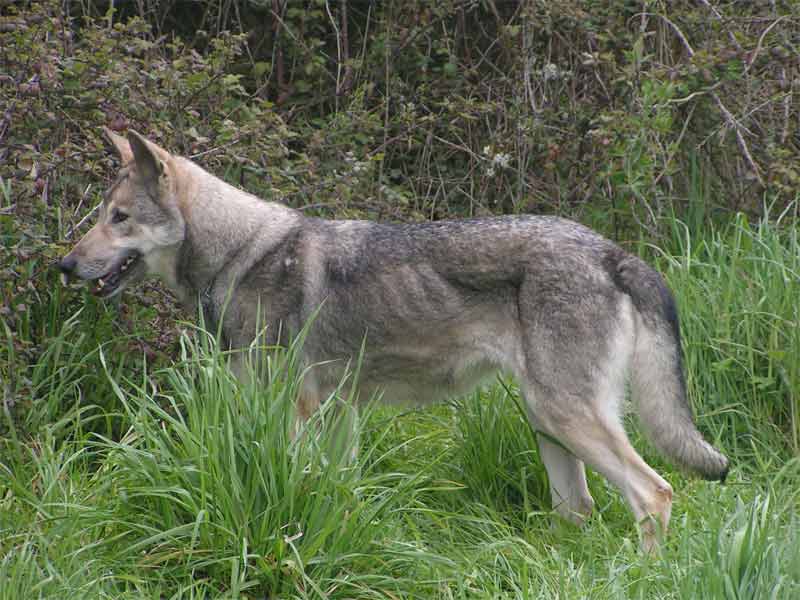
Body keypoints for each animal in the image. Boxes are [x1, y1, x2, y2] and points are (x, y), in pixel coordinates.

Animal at [59, 129, 728, 552]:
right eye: (100, 215)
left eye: (119, 218)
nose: (64, 266)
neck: (241, 256)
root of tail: (613, 252)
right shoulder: (339, 414)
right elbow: (337, 496)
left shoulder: (295, 411)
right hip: (549, 423)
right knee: (582, 510)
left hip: (568, 418)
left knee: (655, 493)